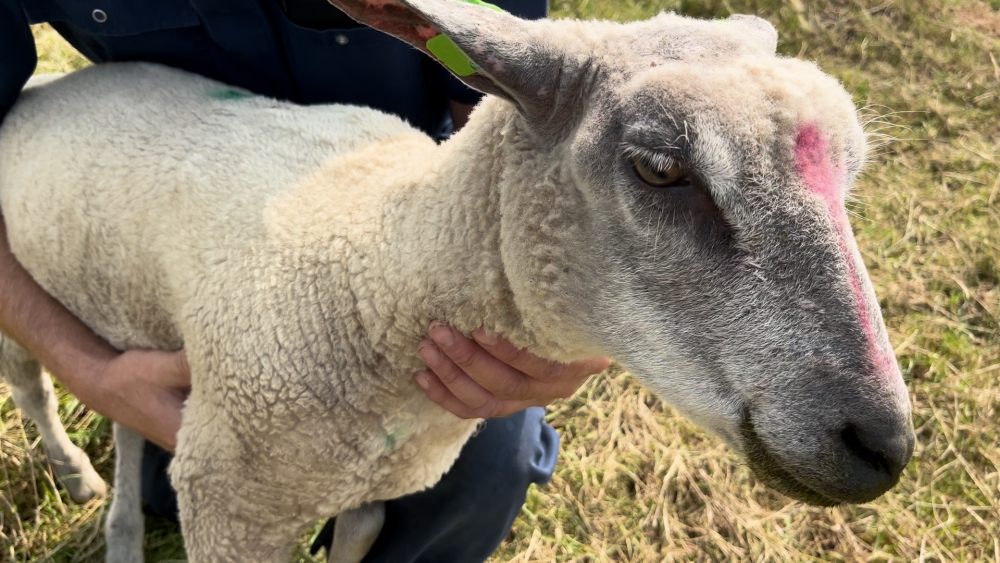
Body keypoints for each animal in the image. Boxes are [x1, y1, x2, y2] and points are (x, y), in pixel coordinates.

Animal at [0, 0, 916, 560]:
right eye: (659, 167)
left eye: (853, 172)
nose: (882, 445)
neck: (378, 269)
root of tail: (41, 88)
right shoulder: (231, 508)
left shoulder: (370, 493)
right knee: (35, 387)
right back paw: (74, 475)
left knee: (125, 417)